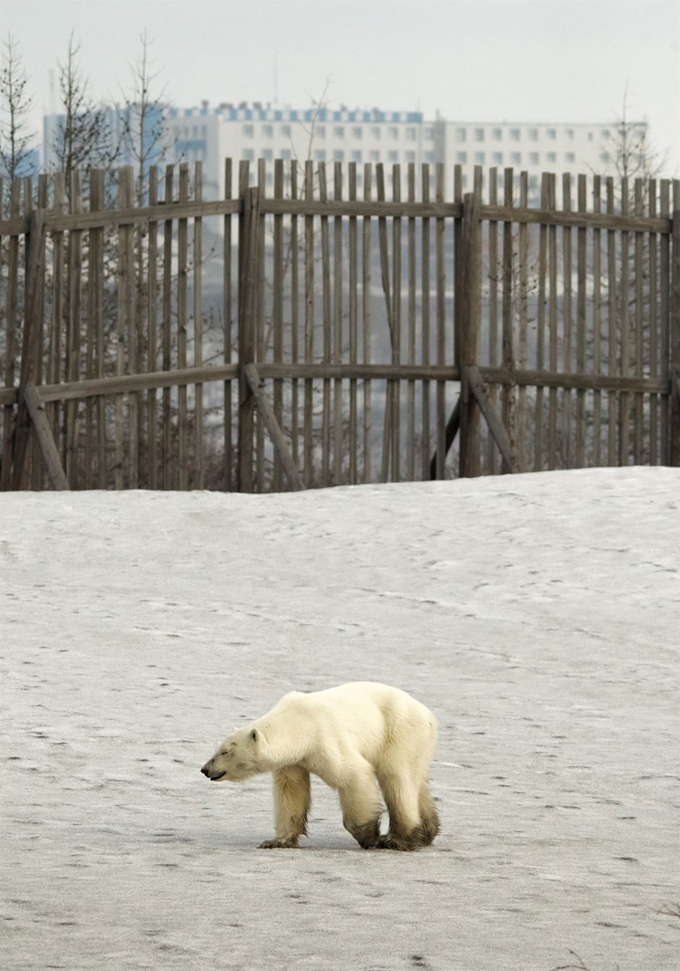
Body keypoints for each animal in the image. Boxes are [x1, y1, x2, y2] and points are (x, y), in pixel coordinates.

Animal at [199, 684, 438, 852]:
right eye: (217, 748)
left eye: (225, 751)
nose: (205, 769)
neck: (299, 723)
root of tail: (428, 714)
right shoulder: (294, 760)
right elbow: (291, 791)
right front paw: (277, 841)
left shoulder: (325, 737)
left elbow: (353, 774)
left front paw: (368, 836)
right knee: (415, 782)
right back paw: (428, 832)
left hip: (399, 731)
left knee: (396, 778)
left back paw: (397, 840)